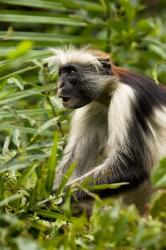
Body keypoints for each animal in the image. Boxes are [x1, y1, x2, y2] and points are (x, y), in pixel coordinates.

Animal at [45, 47, 166, 213]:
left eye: (71, 72)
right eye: (61, 73)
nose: (61, 84)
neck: (113, 87)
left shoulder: (126, 97)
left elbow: (132, 167)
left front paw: (48, 202)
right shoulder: (92, 106)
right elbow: (74, 161)